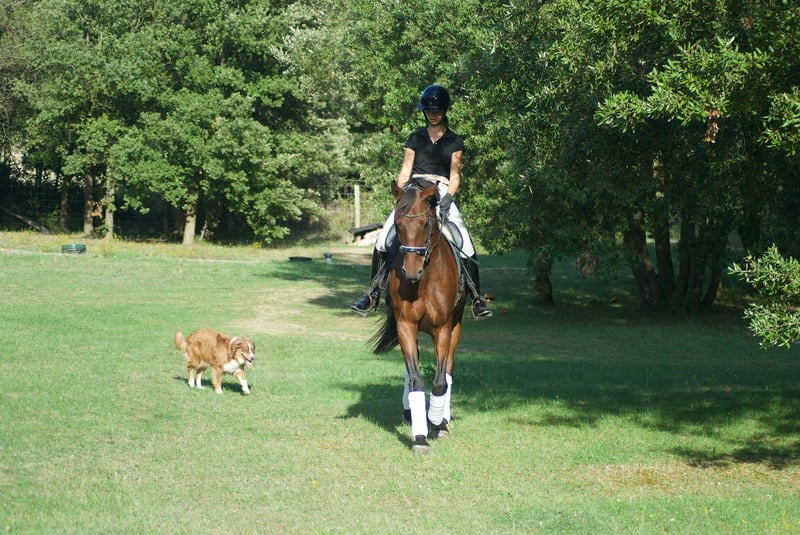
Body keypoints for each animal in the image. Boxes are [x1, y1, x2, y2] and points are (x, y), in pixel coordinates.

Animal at [372, 179, 466, 454]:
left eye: (425, 224)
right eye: (398, 224)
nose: (411, 271)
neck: (422, 282)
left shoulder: (443, 328)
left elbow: (440, 381)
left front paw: (435, 420)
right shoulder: (405, 324)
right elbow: (415, 378)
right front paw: (420, 436)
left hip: (456, 325)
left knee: (448, 371)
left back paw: (443, 419)